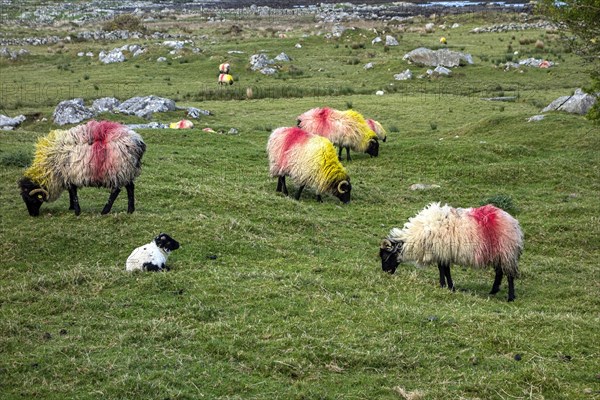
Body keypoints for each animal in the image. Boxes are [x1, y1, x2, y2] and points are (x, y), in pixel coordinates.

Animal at [382, 202, 524, 302]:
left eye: (385, 256)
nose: (385, 272)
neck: (418, 234)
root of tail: (513, 222)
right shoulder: (442, 253)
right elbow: (443, 269)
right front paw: (446, 285)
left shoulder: (443, 250)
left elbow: (445, 270)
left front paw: (447, 286)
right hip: (498, 254)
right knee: (499, 272)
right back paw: (493, 291)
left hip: (506, 251)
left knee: (509, 275)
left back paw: (510, 297)